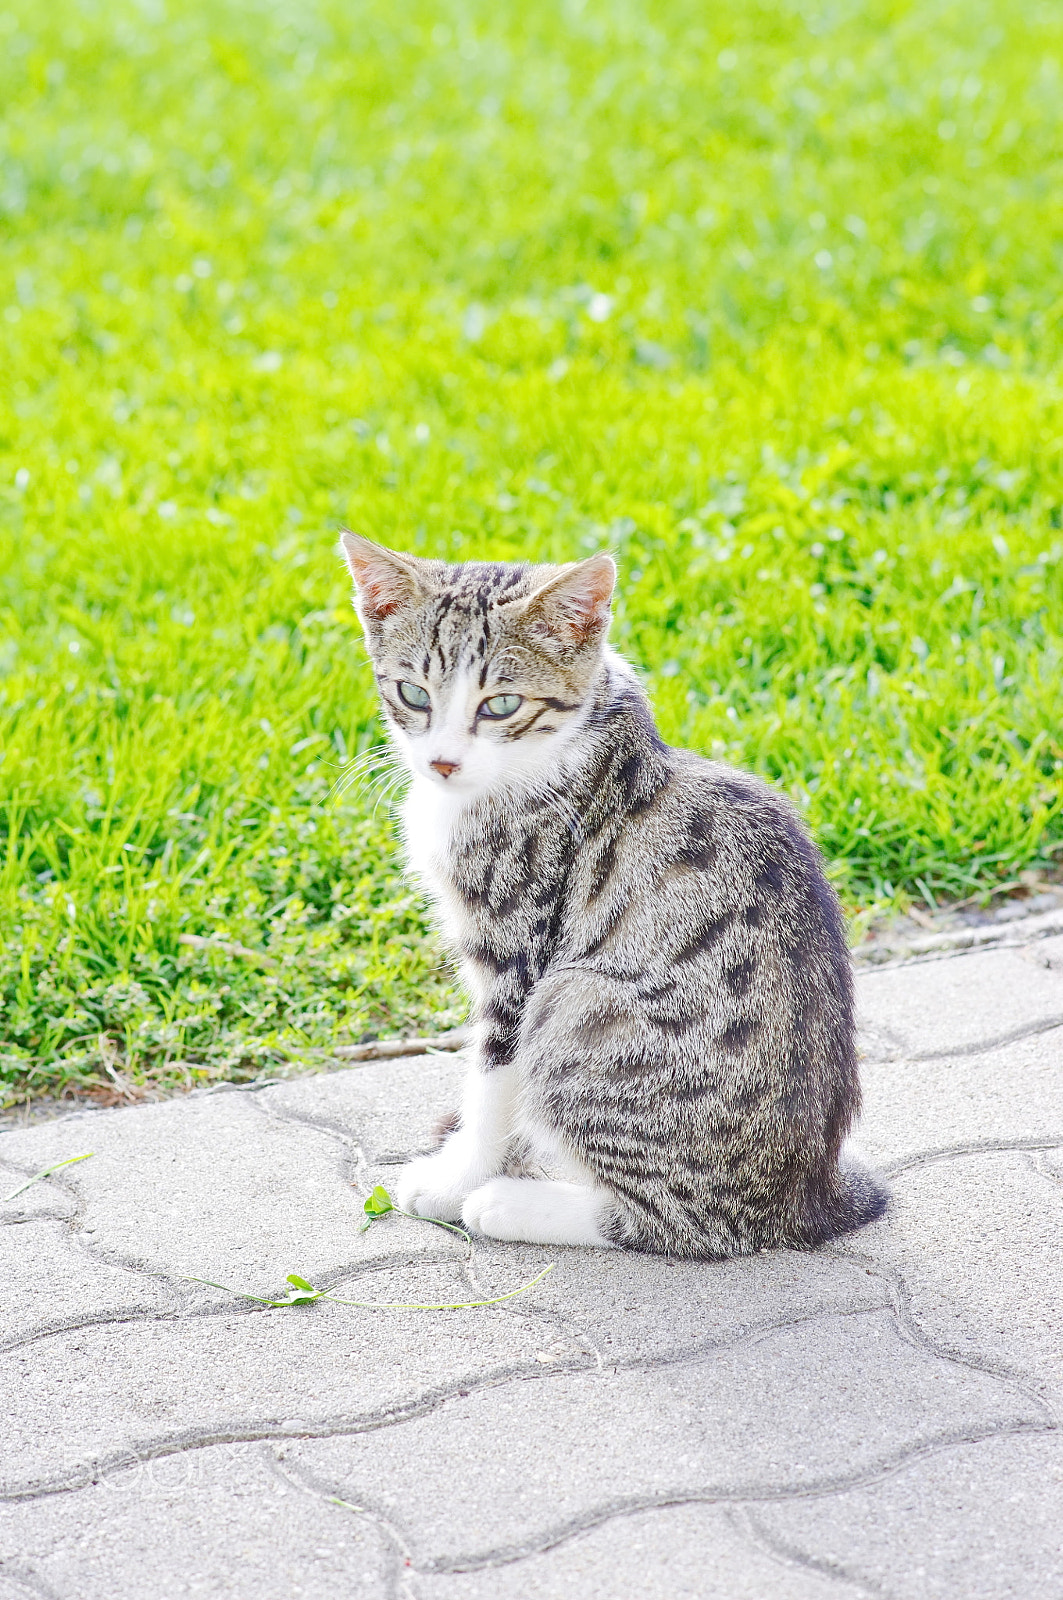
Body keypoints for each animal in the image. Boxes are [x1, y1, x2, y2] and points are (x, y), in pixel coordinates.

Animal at [342, 537, 890, 1260]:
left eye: (500, 705)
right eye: (412, 693)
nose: (442, 763)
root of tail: (807, 1199)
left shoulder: (517, 953)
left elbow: (493, 1078)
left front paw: (458, 1176)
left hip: (575, 1004)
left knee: (678, 1224)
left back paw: (509, 1204)